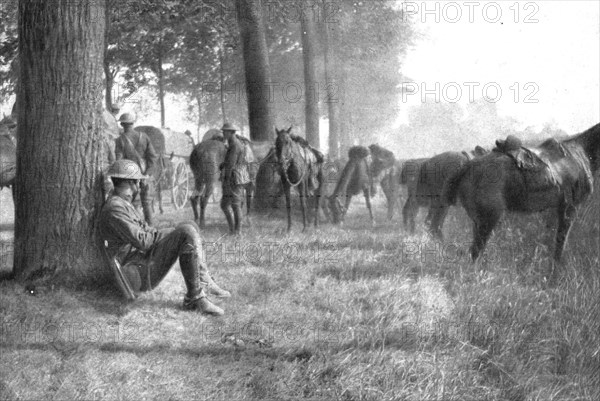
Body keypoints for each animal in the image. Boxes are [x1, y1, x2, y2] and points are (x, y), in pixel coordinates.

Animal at [446, 122, 600, 276]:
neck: (582, 152)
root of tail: (468, 166)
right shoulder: (570, 209)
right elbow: (560, 243)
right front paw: (554, 275)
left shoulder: (559, 208)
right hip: (490, 219)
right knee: (476, 252)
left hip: (479, 221)